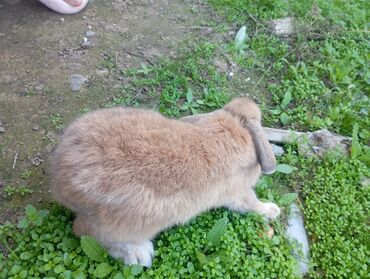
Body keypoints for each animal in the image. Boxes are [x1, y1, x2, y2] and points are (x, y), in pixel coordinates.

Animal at [50, 97, 278, 268]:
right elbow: (251, 203)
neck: (235, 126)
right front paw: (272, 210)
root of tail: (60, 180)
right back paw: (139, 255)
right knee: (84, 231)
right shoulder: (238, 193)